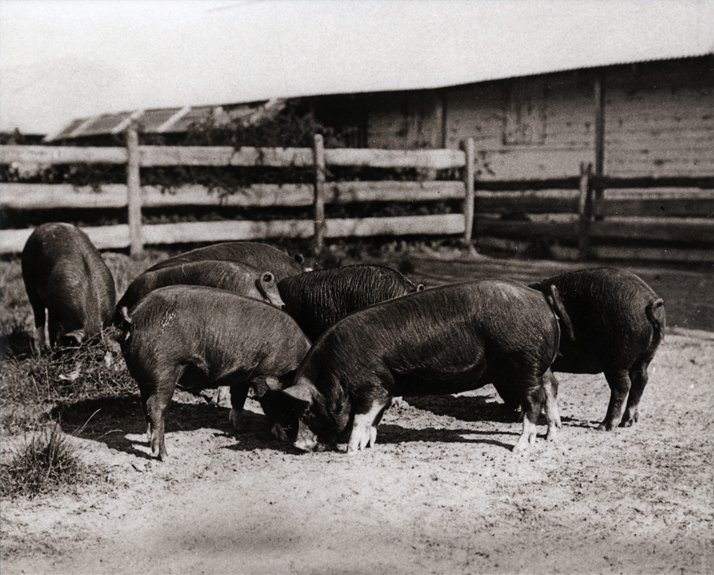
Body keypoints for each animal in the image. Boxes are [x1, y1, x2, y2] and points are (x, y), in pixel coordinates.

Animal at [120, 285, 311, 460]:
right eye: (299, 404)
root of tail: (134, 317)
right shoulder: (264, 374)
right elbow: (269, 404)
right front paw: (282, 437)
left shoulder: (243, 374)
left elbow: (239, 397)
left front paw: (239, 427)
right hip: (164, 369)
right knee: (155, 406)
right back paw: (165, 456)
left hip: (144, 377)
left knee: (145, 404)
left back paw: (149, 440)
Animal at [270, 280, 565, 454]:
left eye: (306, 410)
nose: (297, 445)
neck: (335, 375)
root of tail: (540, 297)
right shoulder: (385, 387)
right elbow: (374, 419)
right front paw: (369, 444)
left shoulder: (372, 386)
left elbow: (361, 418)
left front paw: (352, 451)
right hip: (539, 365)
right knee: (551, 387)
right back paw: (551, 437)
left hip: (524, 363)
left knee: (533, 400)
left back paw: (520, 447)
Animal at [529, 267, 666, 431]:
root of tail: (650, 301)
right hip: (645, 356)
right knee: (641, 379)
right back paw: (628, 422)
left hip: (618, 359)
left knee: (622, 386)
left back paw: (605, 426)